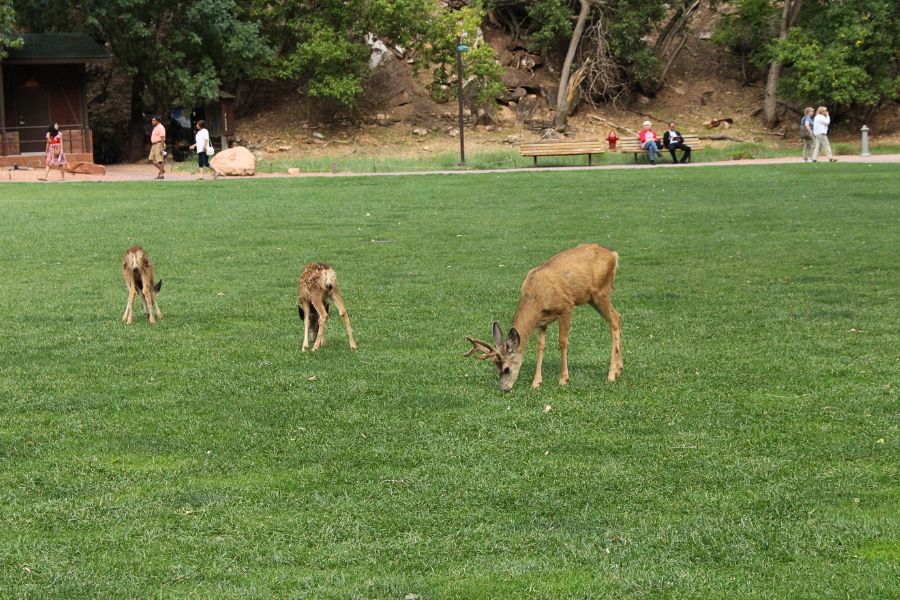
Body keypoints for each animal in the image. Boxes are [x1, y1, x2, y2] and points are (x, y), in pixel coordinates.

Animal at [465, 243, 622, 391]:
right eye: (495, 367)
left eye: (506, 369)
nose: (504, 388)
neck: (537, 296)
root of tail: (614, 254)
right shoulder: (541, 321)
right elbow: (540, 346)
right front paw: (536, 382)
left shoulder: (566, 307)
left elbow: (562, 342)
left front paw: (563, 379)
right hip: (592, 298)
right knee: (618, 317)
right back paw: (619, 369)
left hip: (600, 293)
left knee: (614, 320)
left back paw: (611, 374)